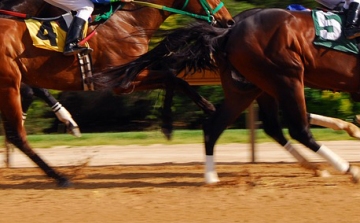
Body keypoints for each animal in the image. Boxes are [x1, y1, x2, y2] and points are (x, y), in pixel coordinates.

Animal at [0, 0, 233, 186]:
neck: (130, 21)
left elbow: (172, 77)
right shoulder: (122, 81)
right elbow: (171, 77)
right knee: (17, 135)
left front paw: (188, 115)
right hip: (9, 84)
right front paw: (179, 120)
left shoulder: (129, 74)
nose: (228, 21)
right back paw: (61, 177)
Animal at [99, 8, 360, 183]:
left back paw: (212, 178)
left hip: (251, 87)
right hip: (285, 76)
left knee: (221, 126)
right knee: (298, 129)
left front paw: (352, 128)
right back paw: (347, 169)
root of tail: (229, 30)